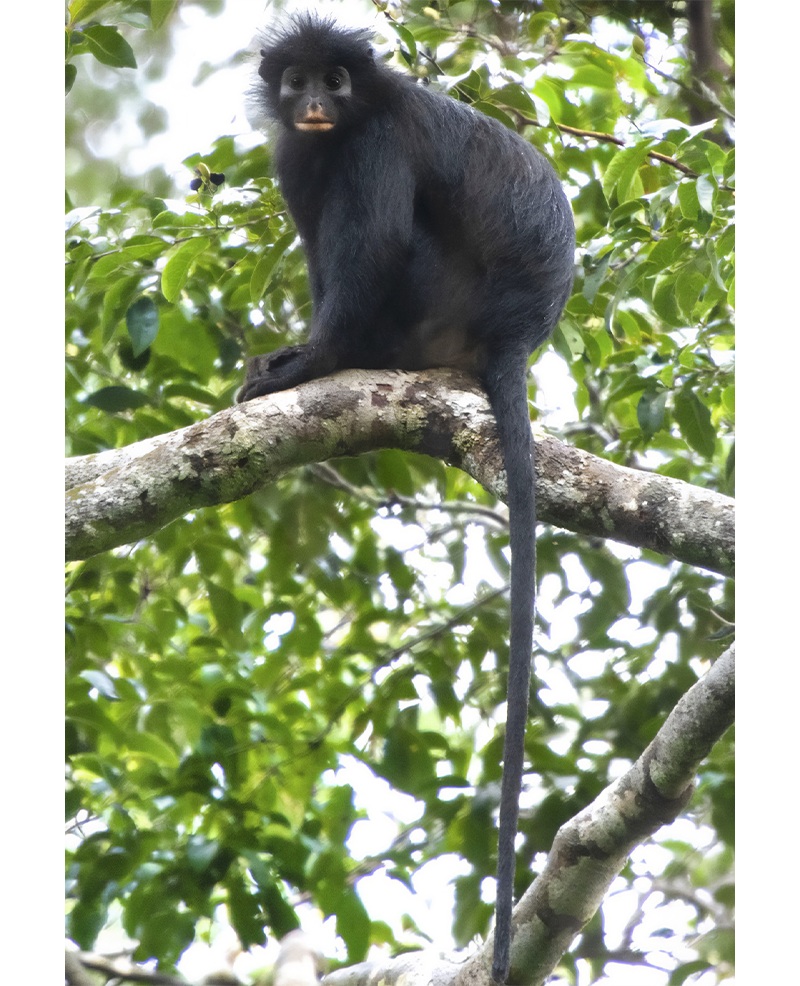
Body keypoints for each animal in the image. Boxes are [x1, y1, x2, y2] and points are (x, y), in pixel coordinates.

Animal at [237, 15, 575, 983]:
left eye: (339, 81)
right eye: (302, 80)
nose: (316, 102)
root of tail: (513, 334)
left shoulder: (375, 141)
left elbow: (372, 244)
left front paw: (310, 363)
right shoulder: (295, 153)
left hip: (435, 301)